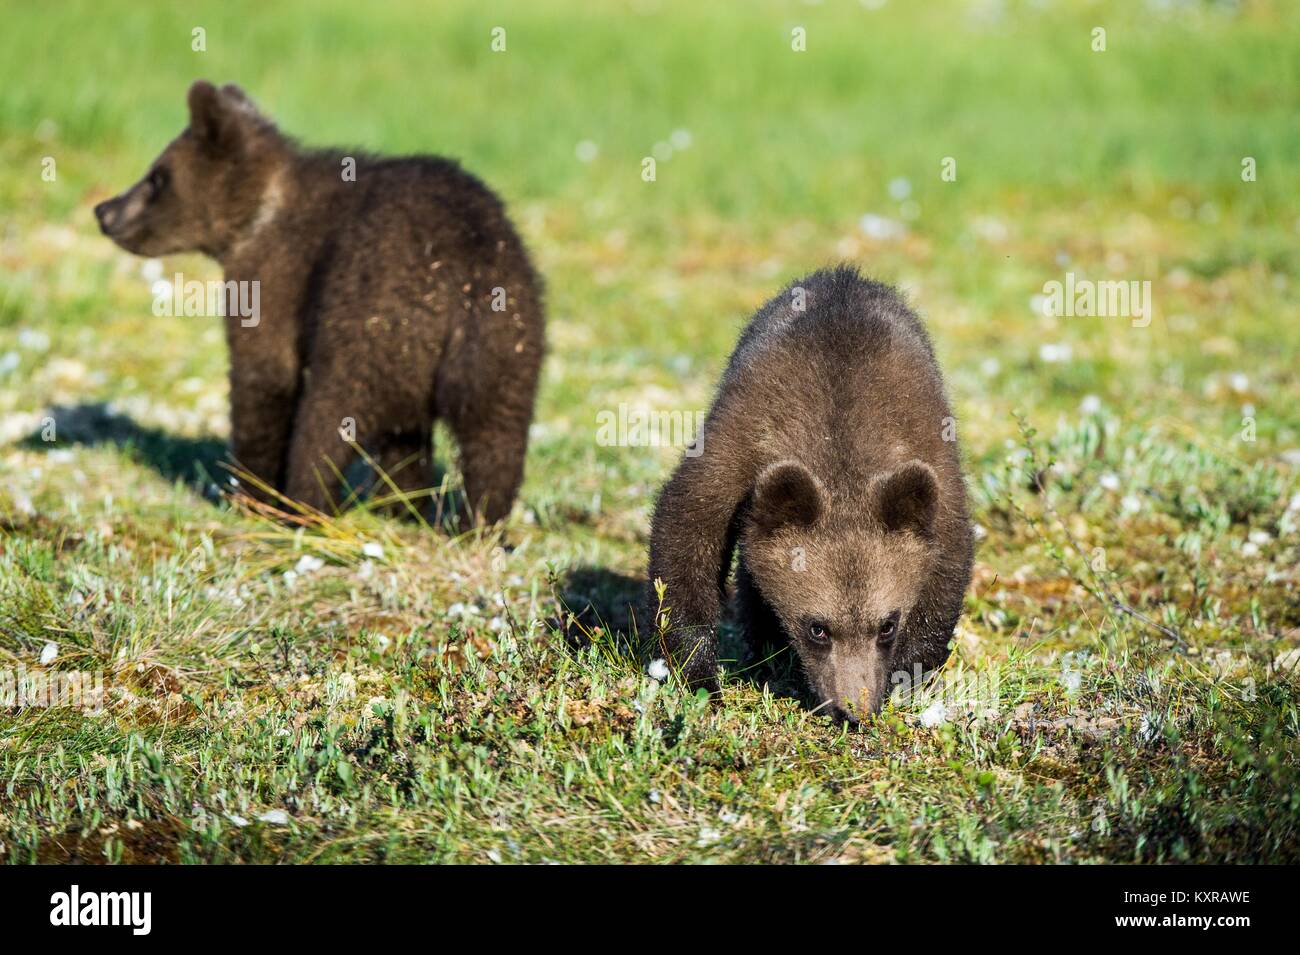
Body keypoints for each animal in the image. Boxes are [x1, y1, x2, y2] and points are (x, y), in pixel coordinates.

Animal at [94, 81, 544, 524]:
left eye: (157, 177)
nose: (104, 211)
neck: (258, 214)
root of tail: (460, 283)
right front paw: (400, 503)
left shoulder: (273, 277)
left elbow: (265, 377)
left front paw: (249, 493)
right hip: (504, 347)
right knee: (493, 438)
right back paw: (469, 522)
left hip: (367, 327)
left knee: (327, 421)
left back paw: (303, 508)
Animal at [647, 265, 973, 722]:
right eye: (817, 627)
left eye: (887, 624)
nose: (854, 710)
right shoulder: (741, 443)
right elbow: (686, 529)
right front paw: (701, 676)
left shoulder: (927, 453)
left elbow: (947, 557)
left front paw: (906, 675)